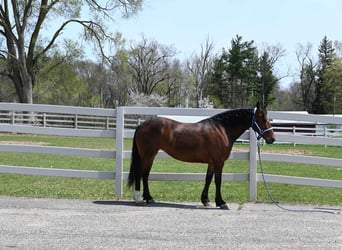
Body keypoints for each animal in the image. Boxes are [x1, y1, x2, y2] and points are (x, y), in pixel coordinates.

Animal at [127, 102, 276, 210]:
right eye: (263, 119)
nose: (272, 139)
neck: (222, 129)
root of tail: (142, 125)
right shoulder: (219, 162)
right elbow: (218, 181)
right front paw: (221, 202)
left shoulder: (212, 162)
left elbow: (208, 179)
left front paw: (205, 200)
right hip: (146, 155)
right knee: (140, 173)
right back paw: (139, 199)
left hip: (151, 155)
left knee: (145, 175)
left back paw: (149, 197)